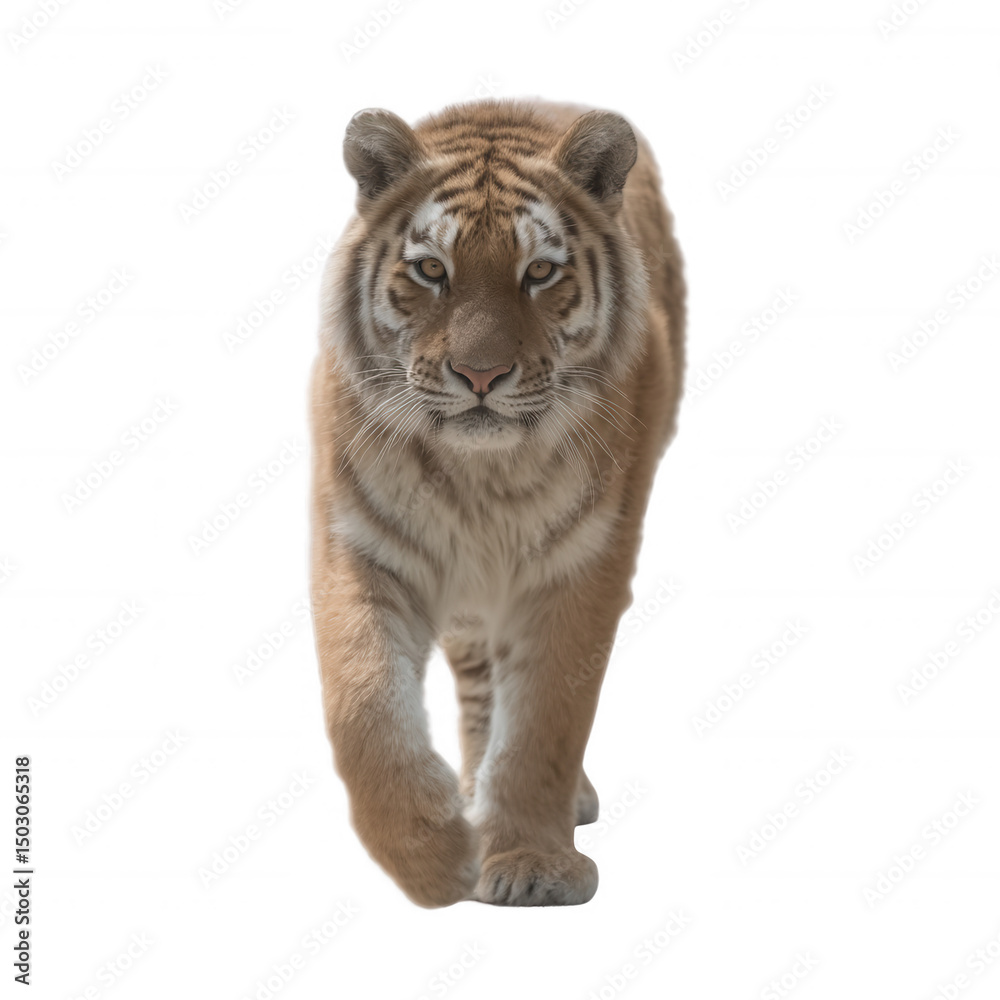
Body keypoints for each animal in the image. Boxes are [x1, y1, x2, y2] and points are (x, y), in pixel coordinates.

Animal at [309, 98, 685, 907]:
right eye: (431, 270)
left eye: (539, 272)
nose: (480, 375)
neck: (481, 478)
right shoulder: (361, 546)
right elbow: (363, 705)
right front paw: (431, 855)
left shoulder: (582, 565)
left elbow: (546, 716)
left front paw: (531, 863)